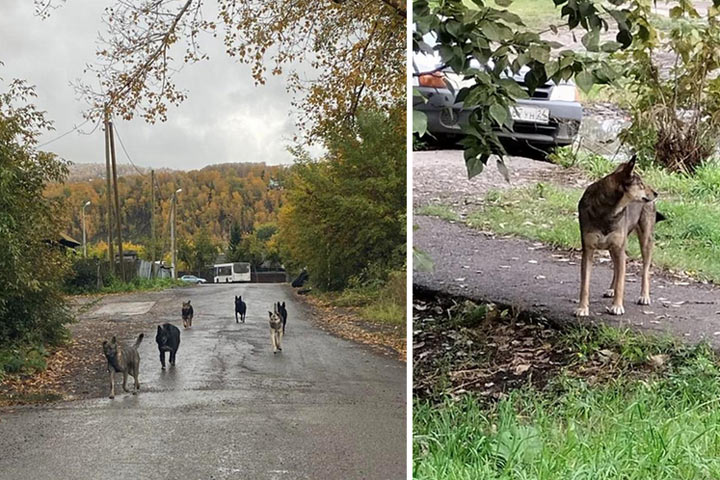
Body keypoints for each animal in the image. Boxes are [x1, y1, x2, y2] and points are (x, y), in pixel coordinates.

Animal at [572, 156, 664, 316]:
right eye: (640, 184)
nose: (656, 193)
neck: (608, 211)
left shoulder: (620, 249)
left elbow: (622, 282)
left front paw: (617, 306)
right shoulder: (588, 251)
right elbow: (585, 285)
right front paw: (582, 308)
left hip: (645, 241)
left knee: (645, 270)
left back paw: (644, 296)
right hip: (613, 247)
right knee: (616, 267)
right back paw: (611, 289)